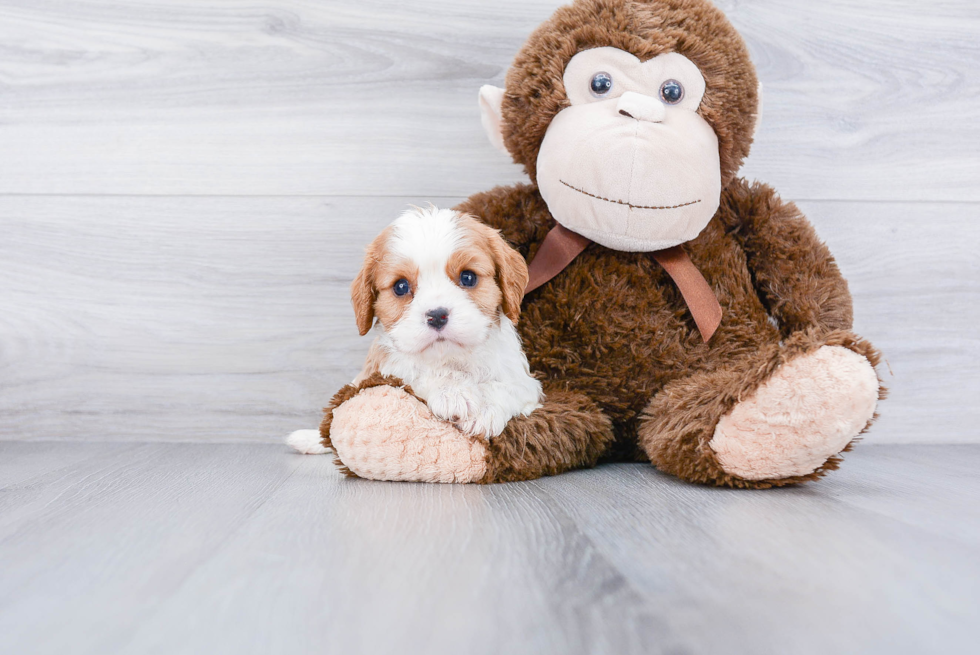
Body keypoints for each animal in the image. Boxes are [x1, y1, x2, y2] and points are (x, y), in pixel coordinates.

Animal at [288, 206, 544, 456]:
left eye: (468, 277)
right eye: (401, 286)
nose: (437, 315)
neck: (452, 359)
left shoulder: (527, 385)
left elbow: (507, 388)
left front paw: (485, 410)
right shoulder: (385, 370)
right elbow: (416, 374)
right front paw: (452, 392)